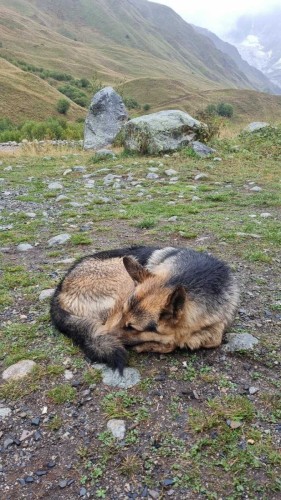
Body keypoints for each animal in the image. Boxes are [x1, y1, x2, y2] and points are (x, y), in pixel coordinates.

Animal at [49, 244, 237, 374]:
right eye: (123, 315)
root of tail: (59, 289)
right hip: (123, 282)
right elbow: (174, 341)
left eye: (131, 327)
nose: (101, 338)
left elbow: (213, 338)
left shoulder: (219, 321)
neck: (196, 277)